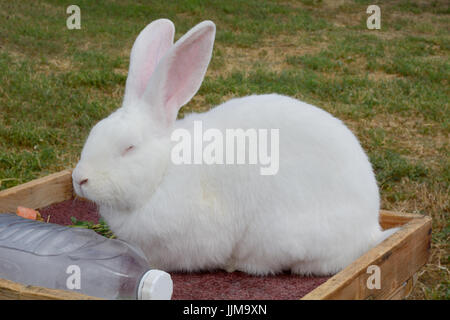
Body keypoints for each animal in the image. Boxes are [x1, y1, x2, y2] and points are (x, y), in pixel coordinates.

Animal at [73, 18, 398, 276]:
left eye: (129, 148)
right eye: (94, 132)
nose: (79, 180)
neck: (164, 170)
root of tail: (369, 230)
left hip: (281, 236)